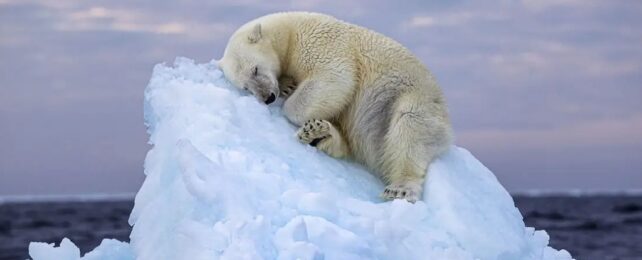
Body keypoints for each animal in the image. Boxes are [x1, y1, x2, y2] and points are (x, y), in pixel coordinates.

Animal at [218, 11, 452, 203]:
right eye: (246, 87)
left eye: (255, 69)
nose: (267, 97)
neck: (289, 31)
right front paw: (287, 86)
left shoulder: (320, 43)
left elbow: (335, 78)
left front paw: (290, 99)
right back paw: (319, 133)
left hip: (412, 98)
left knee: (410, 127)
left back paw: (400, 188)